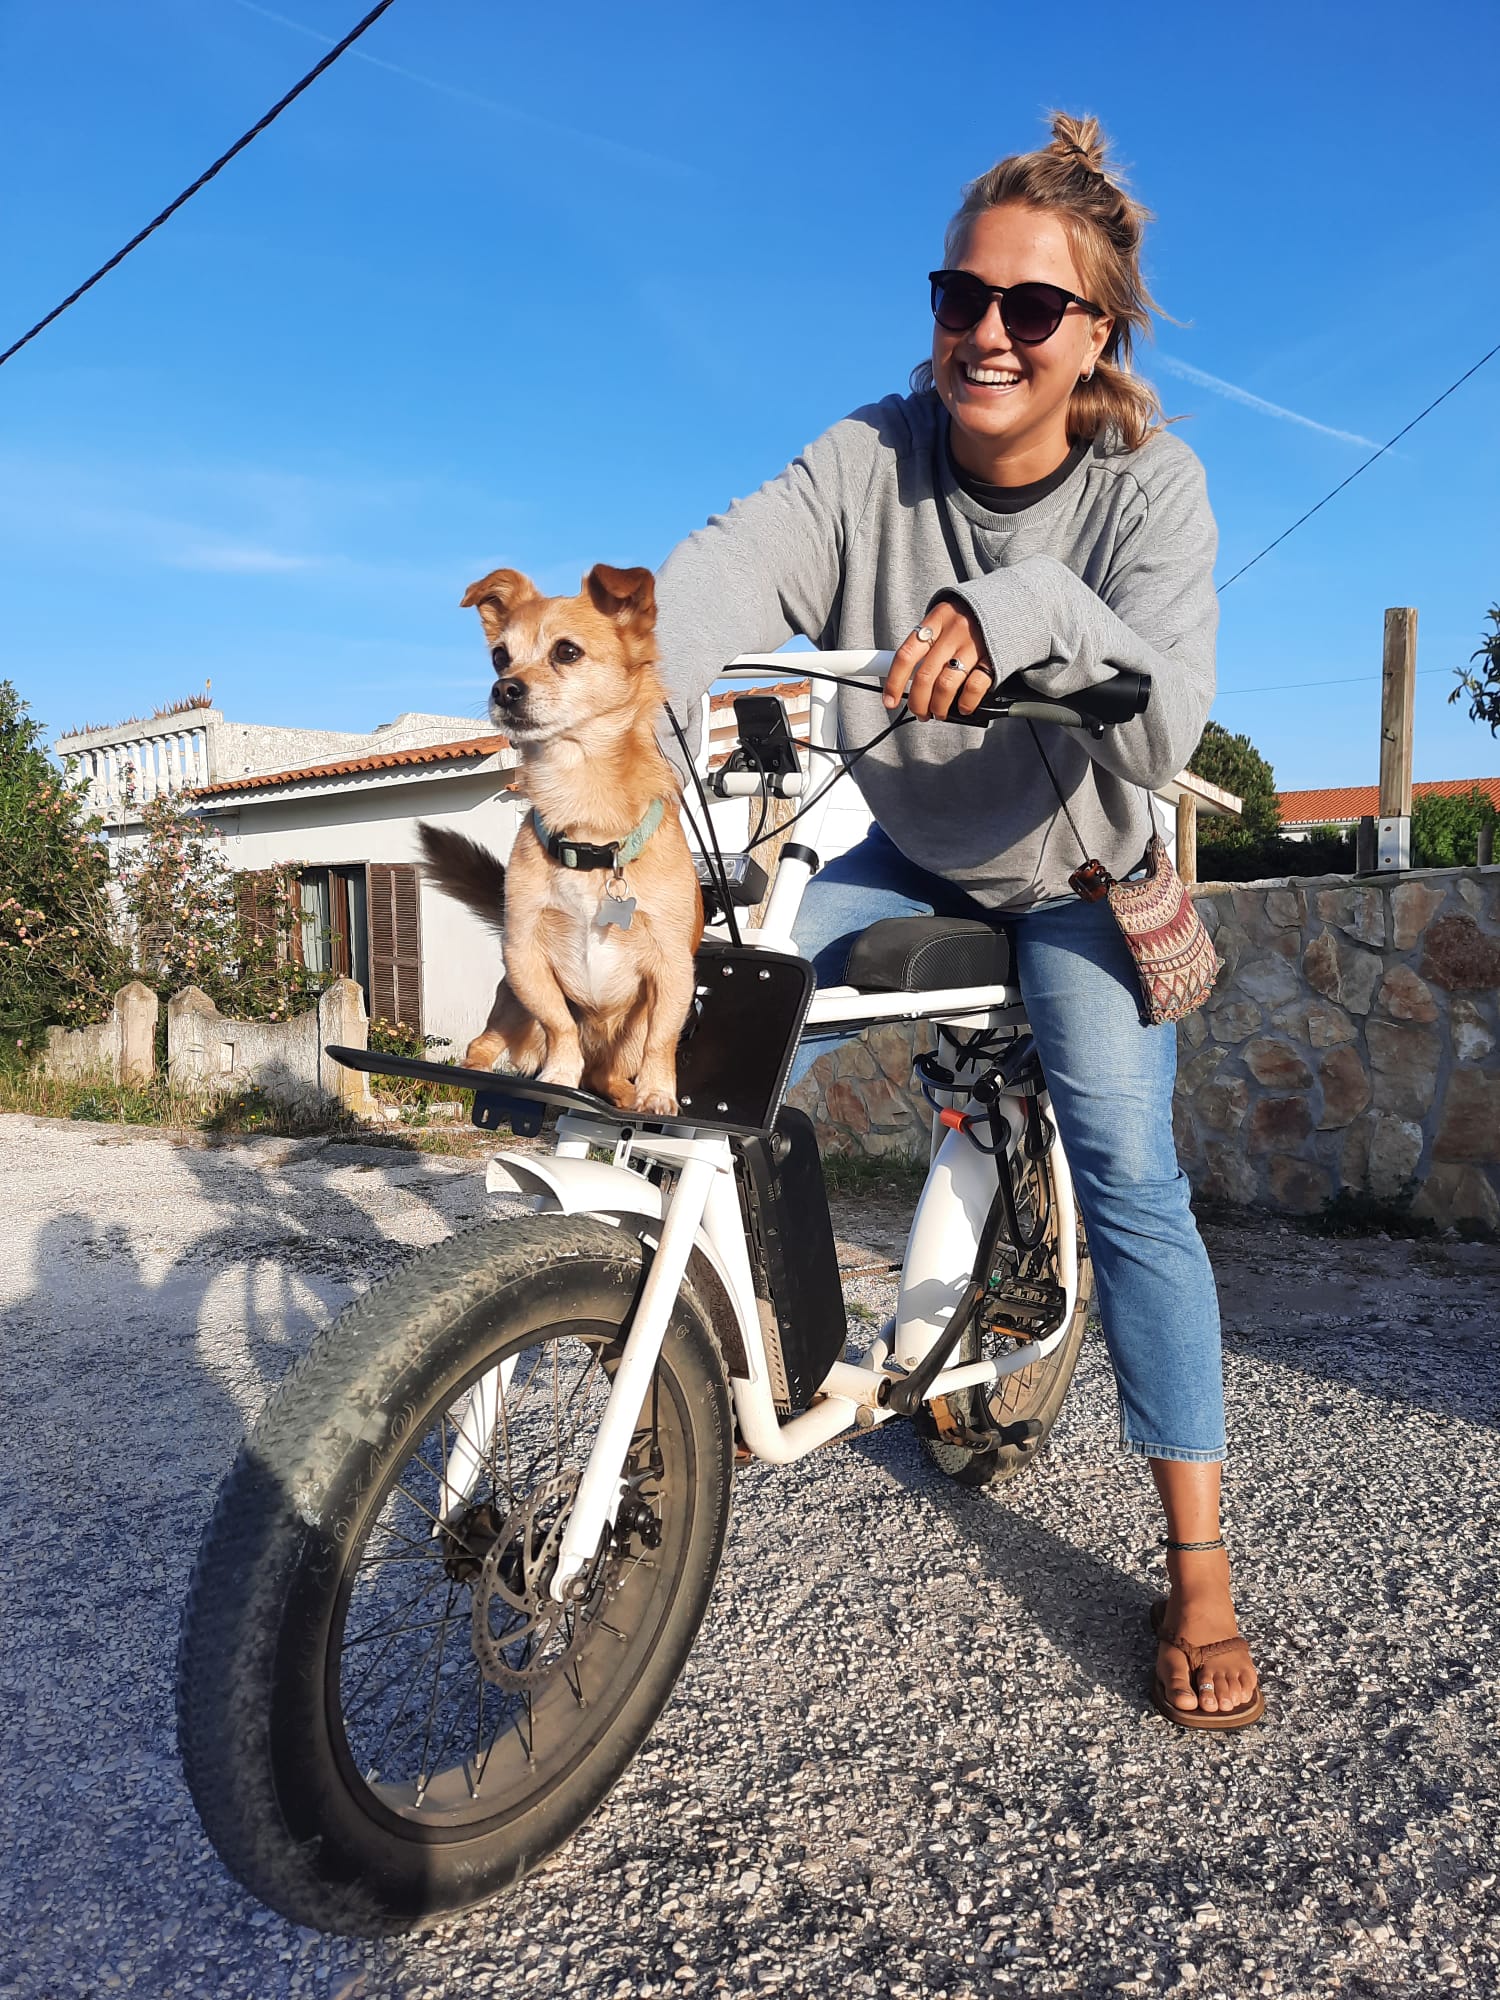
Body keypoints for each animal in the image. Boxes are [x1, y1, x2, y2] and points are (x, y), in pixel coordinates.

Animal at [420, 564, 708, 1120]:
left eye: (567, 652)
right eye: (499, 656)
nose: (504, 688)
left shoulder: (671, 969)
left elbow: (662, 1039)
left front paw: (658, 1094)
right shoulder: (525, 957)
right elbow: (561, 1025)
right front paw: (556, 1076)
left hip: (625, 1034)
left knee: (607, 1072)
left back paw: (626, 1094)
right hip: (513, 1012)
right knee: (488, 1044)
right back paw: (474, 1072)